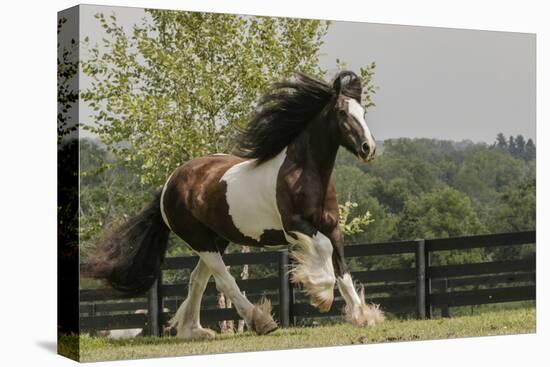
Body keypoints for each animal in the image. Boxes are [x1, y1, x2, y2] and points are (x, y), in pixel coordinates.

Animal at [86, 70, 386, 340]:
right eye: (343, 113)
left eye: (362, 113)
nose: (368, 148)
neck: (303, 174)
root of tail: (170, 183)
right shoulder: (296, 227)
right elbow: (325, 255)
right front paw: (320, 295)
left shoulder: (332, 227)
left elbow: (342, 270)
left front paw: (363, 317)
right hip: (199, 240)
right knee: (222, 279)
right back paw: (261, 322)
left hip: (216, 240)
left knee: (197, 279)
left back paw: (193, 331)